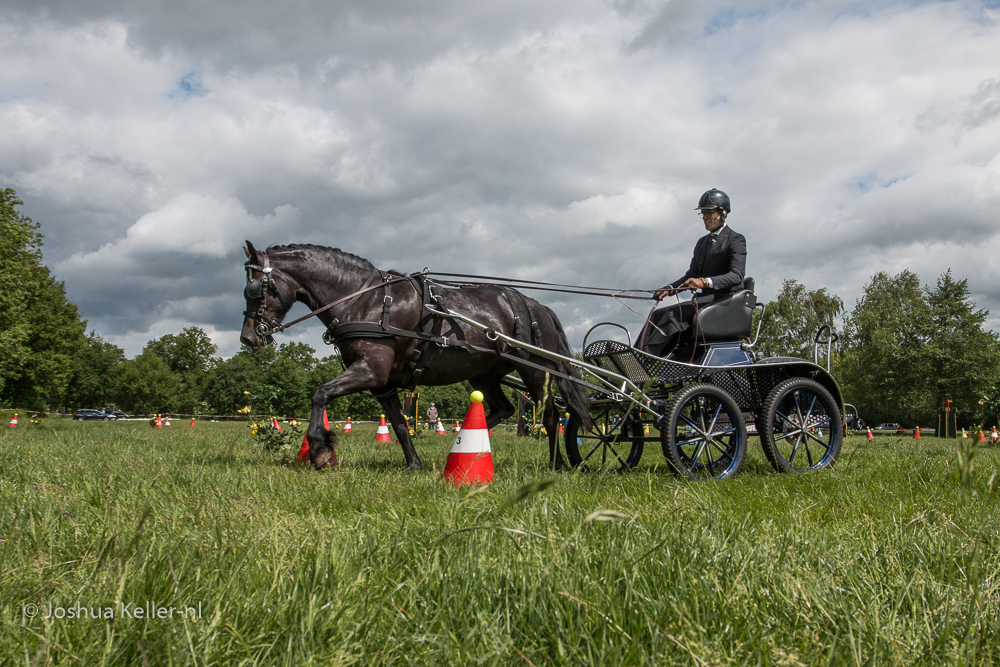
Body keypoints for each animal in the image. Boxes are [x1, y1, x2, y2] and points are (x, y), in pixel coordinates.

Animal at [238, 244, 588, 470]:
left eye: (254, 289)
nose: (248, 338)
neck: (364, 300)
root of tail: (534, 305)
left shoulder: (371, 371)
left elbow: (320, 394)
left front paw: (320, 449)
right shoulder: (383, 384)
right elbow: (399, 424)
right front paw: (414, 464)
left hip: (535, 369)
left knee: (550, 415)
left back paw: (558, 463)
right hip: (484, 373)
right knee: (502, 408)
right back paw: (462, 444)